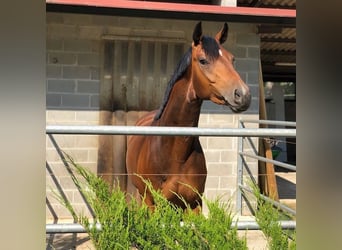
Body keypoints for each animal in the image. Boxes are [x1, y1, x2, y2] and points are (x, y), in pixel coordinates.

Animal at [125, 21, 251, 212]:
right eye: (203, 60)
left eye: (232, 59)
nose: (243, 95)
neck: (175, 153)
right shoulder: (154, 204)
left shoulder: (194, 204)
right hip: (144, 197)